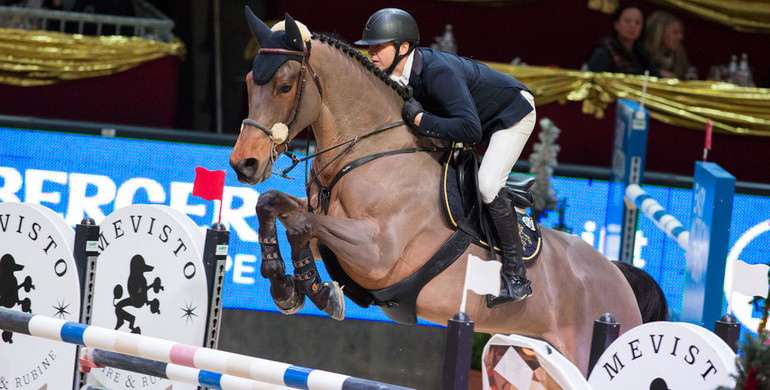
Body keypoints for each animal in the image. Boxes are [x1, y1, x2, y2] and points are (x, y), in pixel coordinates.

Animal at [230, 8, 648, 374]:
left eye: (285, 86)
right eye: (249, 83)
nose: (243, 164)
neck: (368, 151)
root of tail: (619, 275)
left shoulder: (377, 253)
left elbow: (302, 225)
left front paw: (319, 292)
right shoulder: (331, 232)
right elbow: (273, 206)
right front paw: (283, 285)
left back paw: (515, 284)